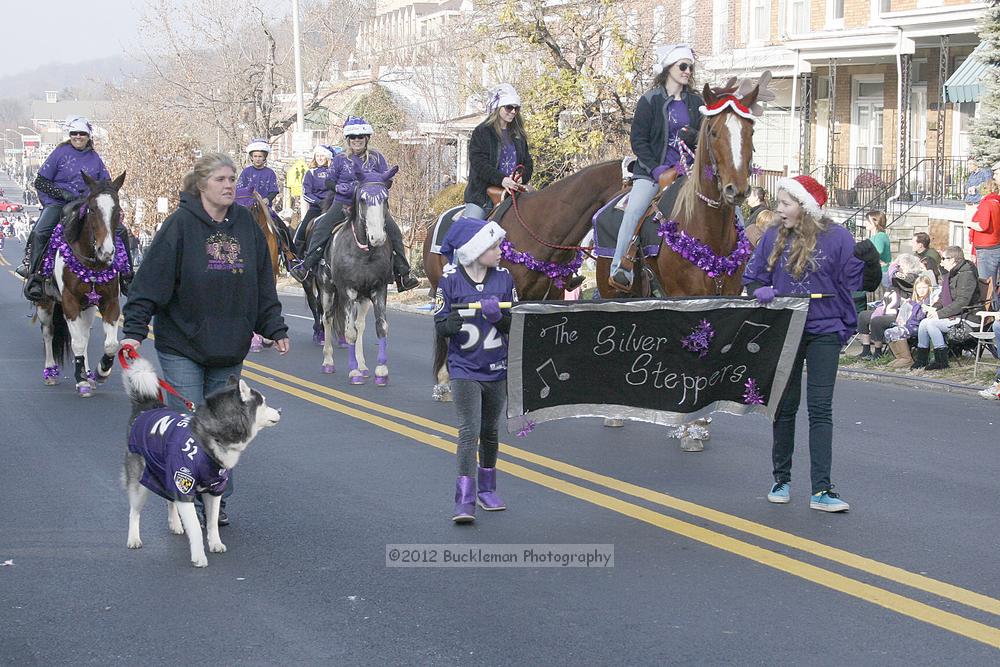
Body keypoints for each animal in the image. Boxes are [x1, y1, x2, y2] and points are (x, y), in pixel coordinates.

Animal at [35, 170, 128, 396]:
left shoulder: (110, 301)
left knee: (85, 335)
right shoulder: (70, 301)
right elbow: (76, 342)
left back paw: (88, 373)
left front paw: (101, 372)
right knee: (48, 332)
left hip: (88, 306)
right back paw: (50, 372)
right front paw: (81, 381)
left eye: (117, 209)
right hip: (45, 303)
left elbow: (110, 344)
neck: (93, 263)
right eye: (92, 209)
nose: (107, 252)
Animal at [121, 358, 280, 568]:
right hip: (139, 482)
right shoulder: (184, 484)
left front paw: (215, 543)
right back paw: (133, 538)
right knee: (134, 512)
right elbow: (196, 528)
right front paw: (199, 556)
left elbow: (212, 523)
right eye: (264, 402)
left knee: (169, 500)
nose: (280, 411)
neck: (213, 435)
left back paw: (175, 524)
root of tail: (148, 406)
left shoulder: (214, 489)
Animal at [322, 167, 396, 386]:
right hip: (328, 290)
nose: (377, 237)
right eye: (362, 199)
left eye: (385, 198)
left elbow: (381, 327)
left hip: (363, 298)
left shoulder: (379, 290)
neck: (365, 253)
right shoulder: (347, 291)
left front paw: (381, 371)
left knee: (360, 325)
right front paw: (353, 371)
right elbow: (349, 333)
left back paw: (363, 366)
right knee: (327, 319)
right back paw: (328, 362)